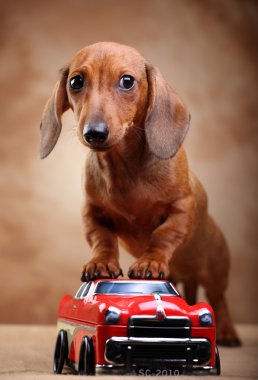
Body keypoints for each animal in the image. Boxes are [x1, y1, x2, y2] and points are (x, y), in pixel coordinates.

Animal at [39, 40, 240, 344]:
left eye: (127, 81)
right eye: (76, 82)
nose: (94, 132)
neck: (124, 168)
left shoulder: (182, 207)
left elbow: (164, 235)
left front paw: (151, 261)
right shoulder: (92, 212)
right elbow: (102, 238)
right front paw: (100, 263)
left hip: (215, 272)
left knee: (220, 300)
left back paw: (227, 331)